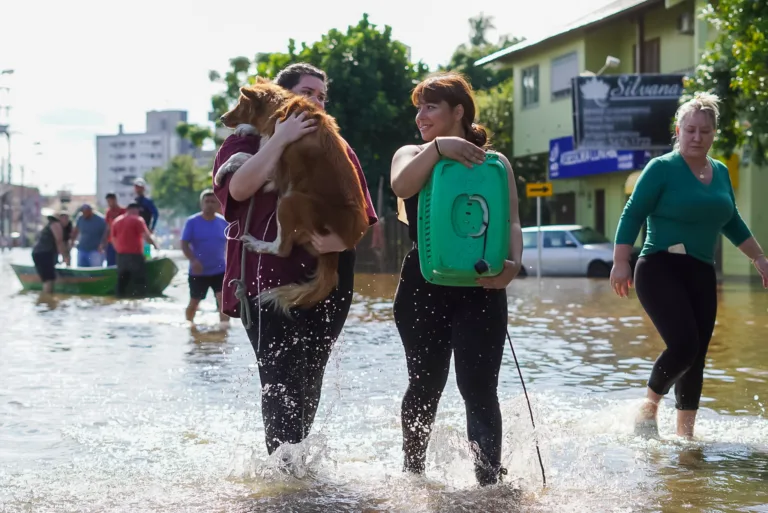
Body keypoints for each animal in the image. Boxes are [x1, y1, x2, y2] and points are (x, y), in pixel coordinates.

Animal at [216, 78, 372, 314]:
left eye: (241, 103)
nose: (222, 118)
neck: (282, 108)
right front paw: (246, 128)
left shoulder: (274, 172)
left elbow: (239, 155)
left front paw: (219, 172)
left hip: (290, 200)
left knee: (283, 248)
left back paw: (257, 243)